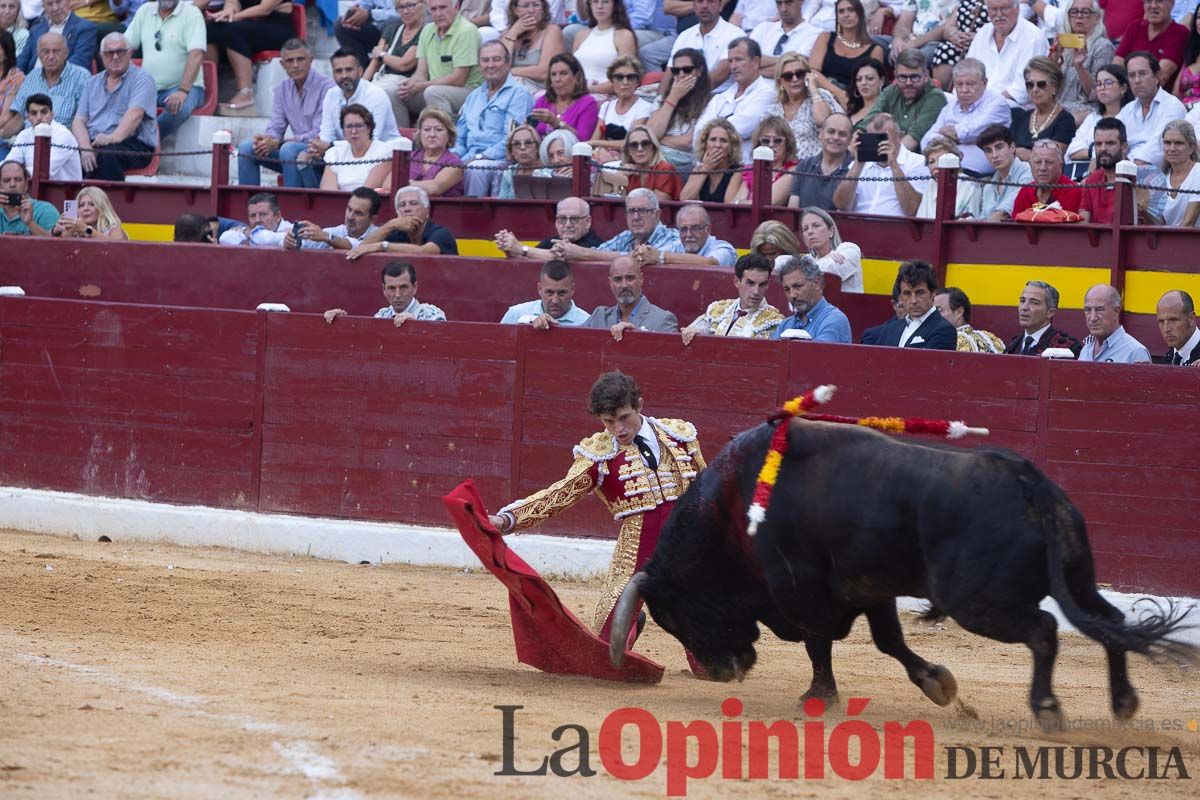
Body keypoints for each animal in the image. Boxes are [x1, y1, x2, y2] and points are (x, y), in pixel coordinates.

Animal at [614, 419, 1195, 724]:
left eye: (677, 616)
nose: (722, 671)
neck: (734, 511)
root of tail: (1026, 478)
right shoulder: (868, 589)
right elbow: (888, 641)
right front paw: (937, 682)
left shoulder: (804, 591)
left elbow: (819, 642)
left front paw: (818, 696)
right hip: (1077, 577)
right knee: (1111, 623)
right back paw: (1123, 704)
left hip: (978, 602)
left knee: (1045, 630)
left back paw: (1047, 707)